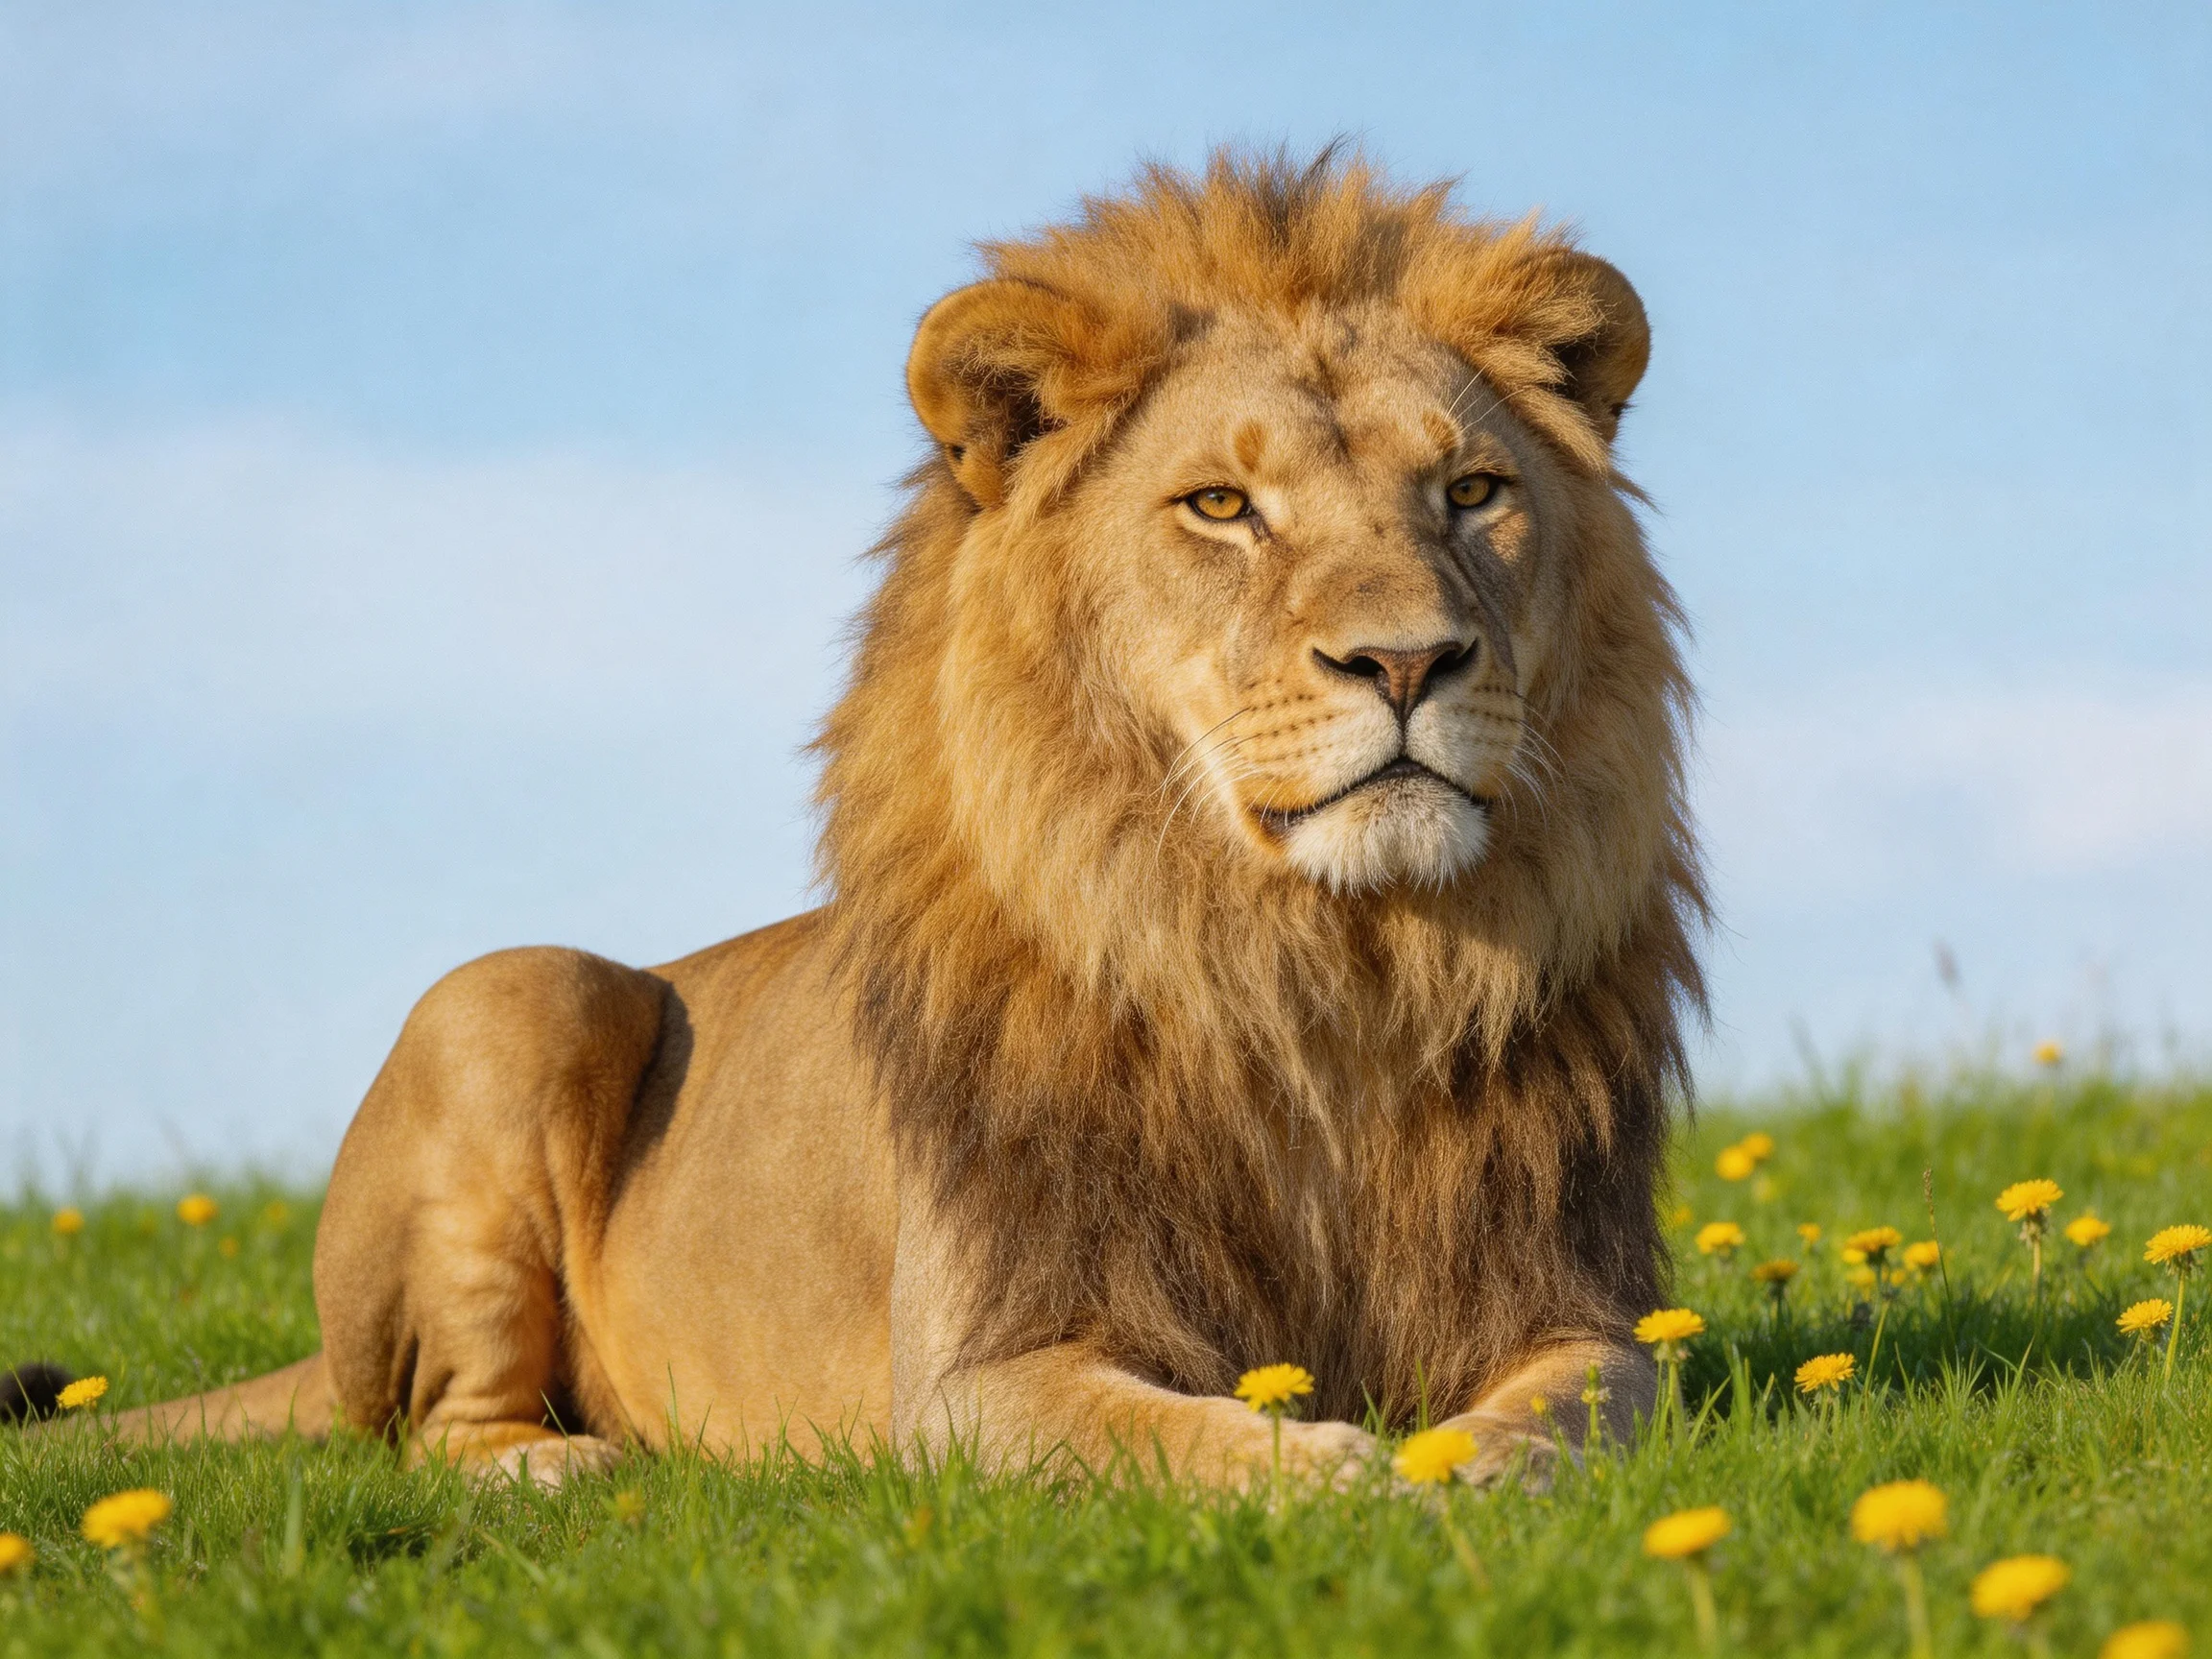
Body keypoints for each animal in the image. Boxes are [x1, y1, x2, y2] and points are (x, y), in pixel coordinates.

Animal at [31, 150, 1704, 1490]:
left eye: (1472, 491)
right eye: (1222, 508)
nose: (1411, 661)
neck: (1317, 971)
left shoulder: (1590, 1312)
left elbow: (1568, 1412)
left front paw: (1455, 1468)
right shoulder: (975, 1378)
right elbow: (1161, 1437)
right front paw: (1340, 1474)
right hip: (508, 993)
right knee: (435, 1430)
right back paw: (564, 1471)